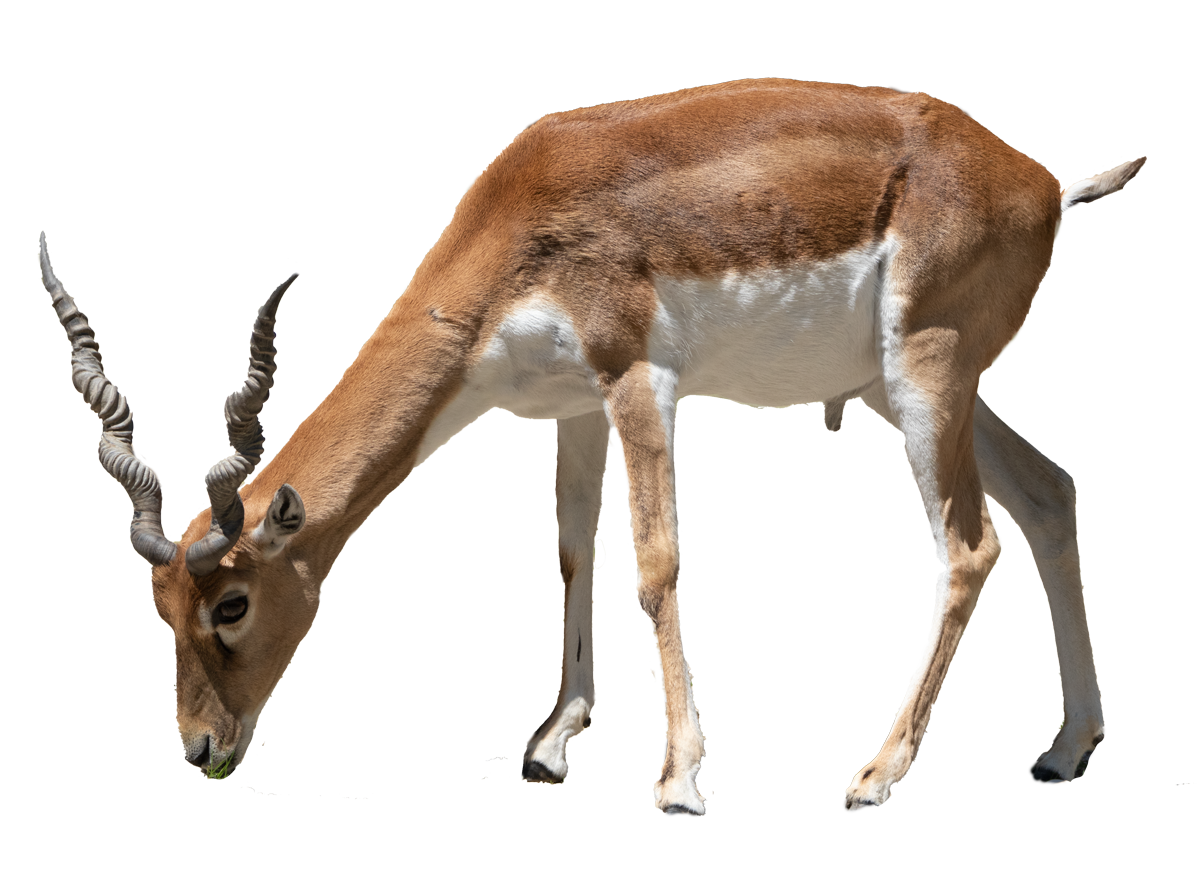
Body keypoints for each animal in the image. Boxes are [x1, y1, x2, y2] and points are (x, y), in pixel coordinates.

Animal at [39, 78, 1145, 817]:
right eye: (159, 605)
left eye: (230, 602)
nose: (197, 746)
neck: (527, 223)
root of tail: (1041, 180)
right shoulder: (573, 405)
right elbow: (574, 551)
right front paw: (551, 738)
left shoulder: (634, 377)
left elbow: (655, 562)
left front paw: (681, 778)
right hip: (904, 386)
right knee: (1050, 493)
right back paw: (1061, 752)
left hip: (925, 373)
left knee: (969, 544)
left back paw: (876, 780)